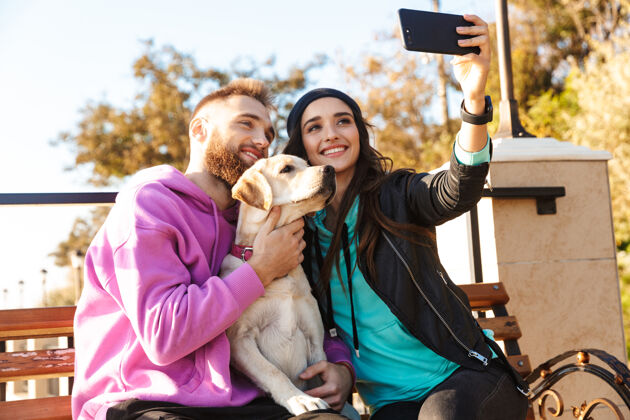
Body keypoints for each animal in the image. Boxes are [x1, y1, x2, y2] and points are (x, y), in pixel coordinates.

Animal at [223, 155, 340, 416]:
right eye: (286, 169)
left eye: (307, 164)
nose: (331, 169)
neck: (282, 277)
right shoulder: (240, 340)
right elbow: (273, 372)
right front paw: (300, 399)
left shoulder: (315, 339)